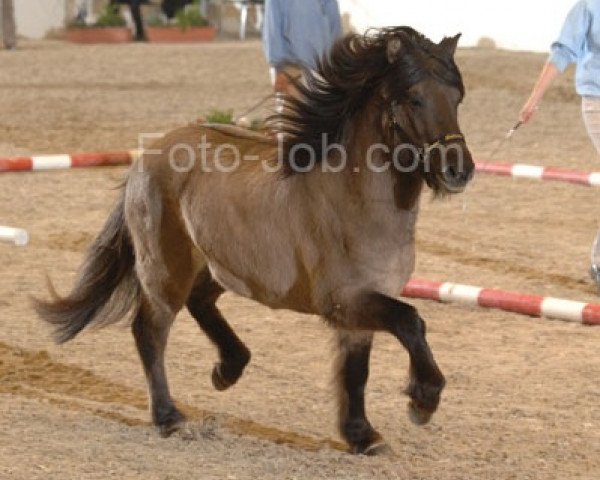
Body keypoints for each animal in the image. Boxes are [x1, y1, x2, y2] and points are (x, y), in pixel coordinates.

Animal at [35, 25, 476, 454]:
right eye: (415, 98)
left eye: (457, 98)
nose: (460, 170)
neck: (355, 198)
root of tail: (147, 156)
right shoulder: (345, 300)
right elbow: (411, 322)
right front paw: (422, 399)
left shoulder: (360, 307)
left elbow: (357, 370)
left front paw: (362, 435)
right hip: (165, 271)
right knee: (150, 330)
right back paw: (169, 416)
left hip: (218, 264)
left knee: (200, 303)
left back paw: (227, 369)